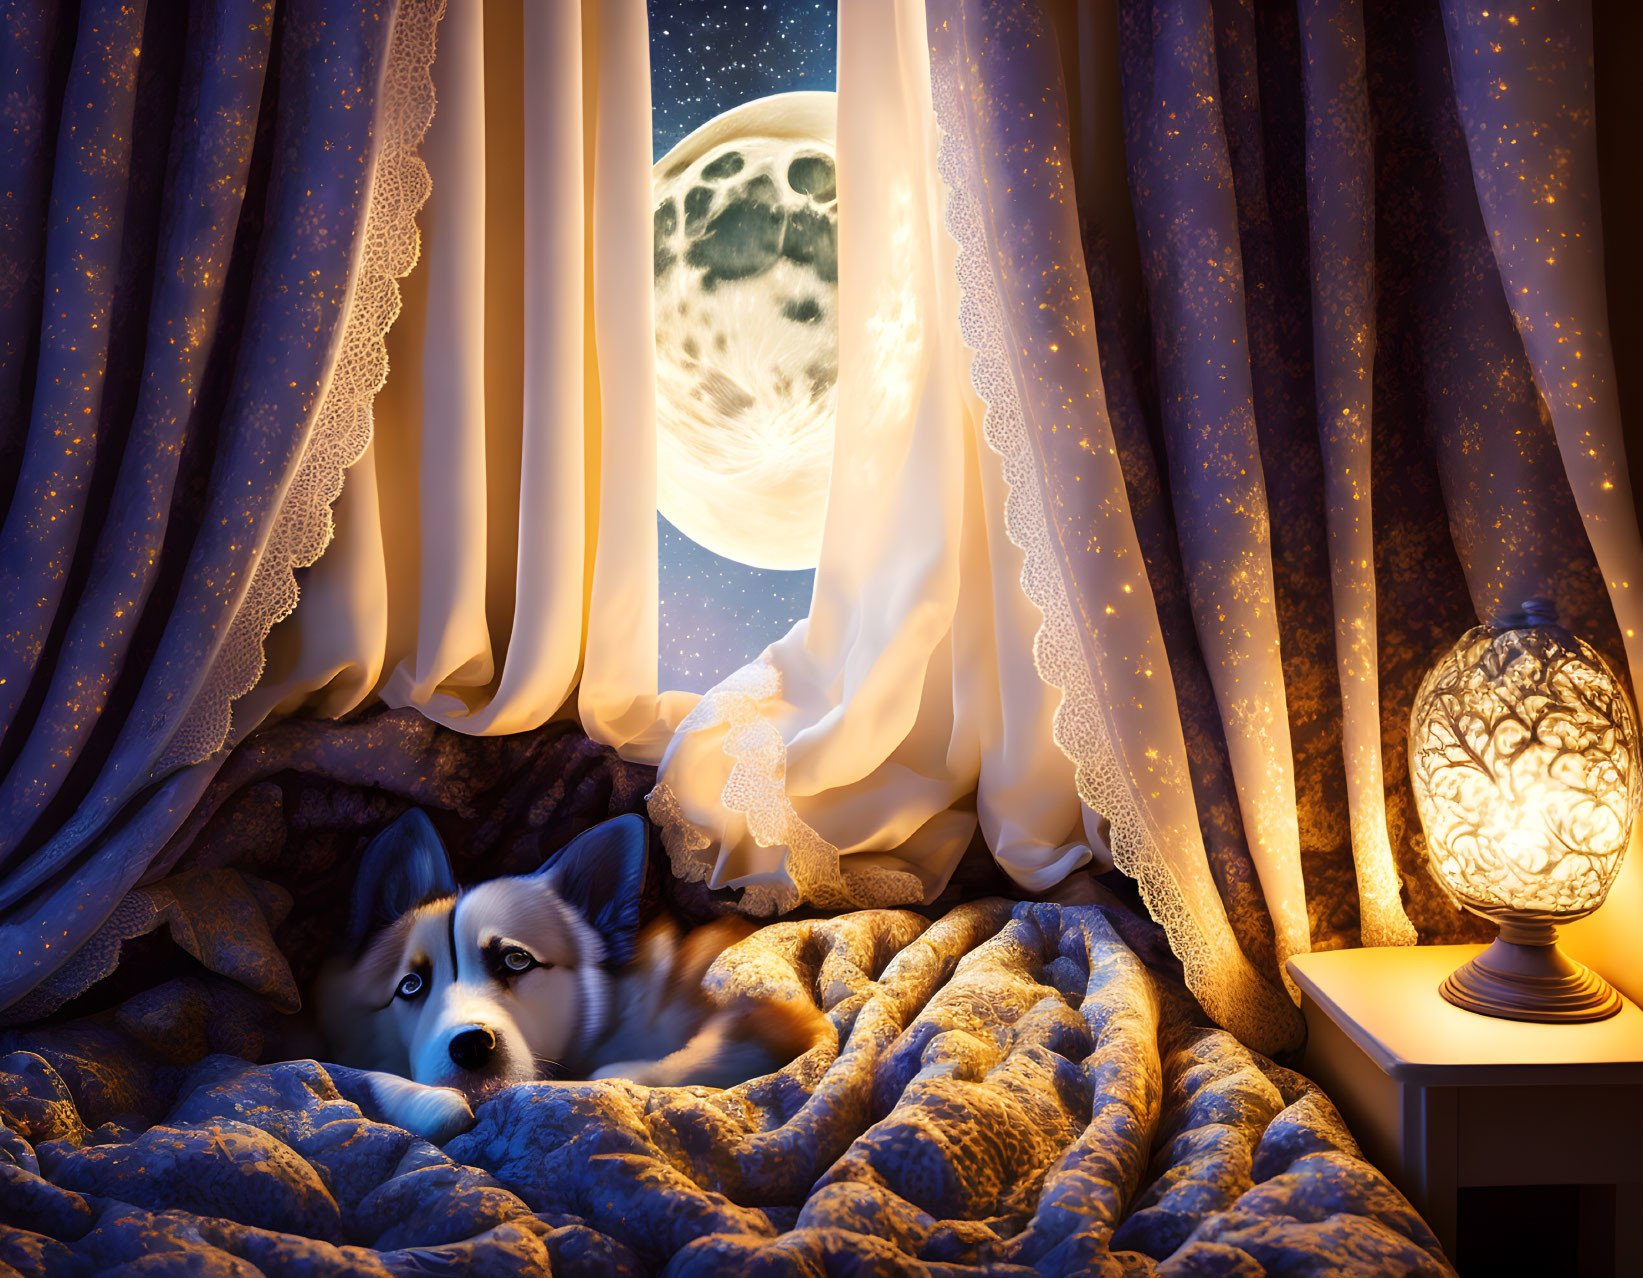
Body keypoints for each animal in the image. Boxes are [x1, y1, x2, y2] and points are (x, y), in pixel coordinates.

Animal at [313, 808, 828, 1136]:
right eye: (411, 985)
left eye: (516, 960)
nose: (472, 1047)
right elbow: (358, 1075)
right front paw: (430, 1102)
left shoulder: (772, 1020)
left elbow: (631, 1071)